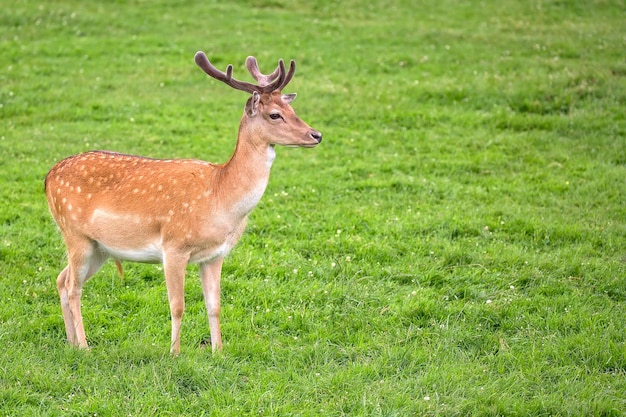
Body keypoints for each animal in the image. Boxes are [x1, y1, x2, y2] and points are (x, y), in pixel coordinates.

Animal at [45, 50, 322, 352]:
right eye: (275, 115)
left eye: (293, 110)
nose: (316, 135)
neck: (220, 198)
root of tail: (48, 177)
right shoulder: (174, 246)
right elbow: (177, 305)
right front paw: (174, 353)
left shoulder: (215, 255)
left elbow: (215, 306)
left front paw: (218, 352)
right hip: (75, 234)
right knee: (73, 286)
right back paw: (84, 347)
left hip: (100, 248)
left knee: (61, 278)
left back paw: (71, 342)